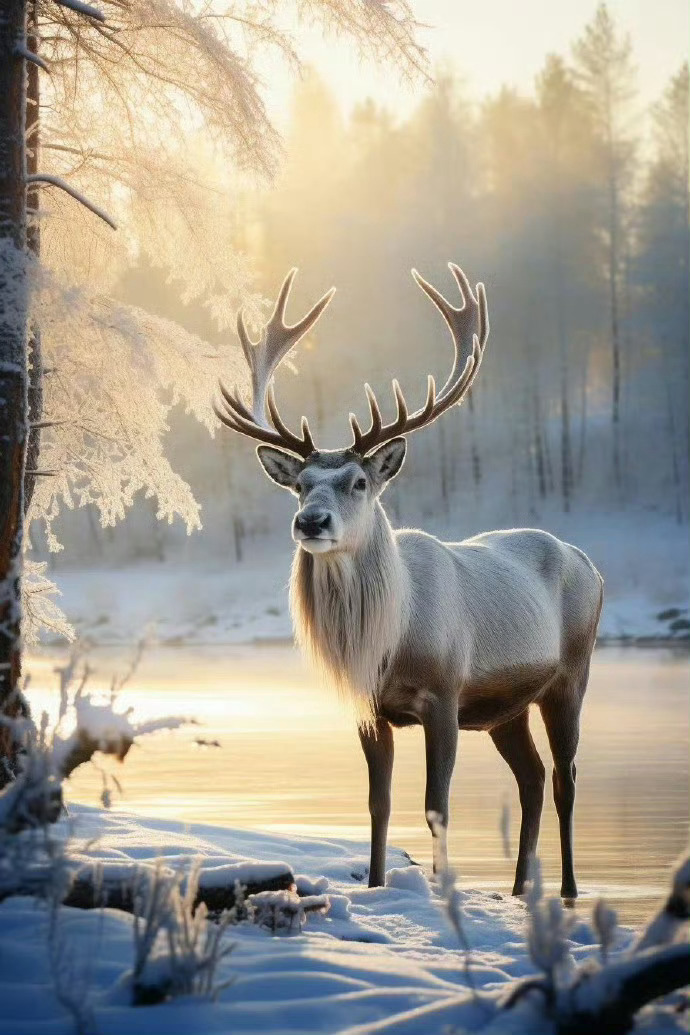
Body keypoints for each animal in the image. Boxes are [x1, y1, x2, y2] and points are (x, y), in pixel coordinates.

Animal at [214, 263, 604, 902]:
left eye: (357, 482)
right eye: (300, 485)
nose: (310, 522)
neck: (392, 638)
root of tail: (589, 564)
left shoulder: (445, 693)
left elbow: (436, 804)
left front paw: (443, 894)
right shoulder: (370, 707)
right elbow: (379, 803)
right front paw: (376, 885)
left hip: (573, 671)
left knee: (566, 774)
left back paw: (568, 889)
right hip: (507, 708)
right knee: (531, 775)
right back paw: (520, 888)